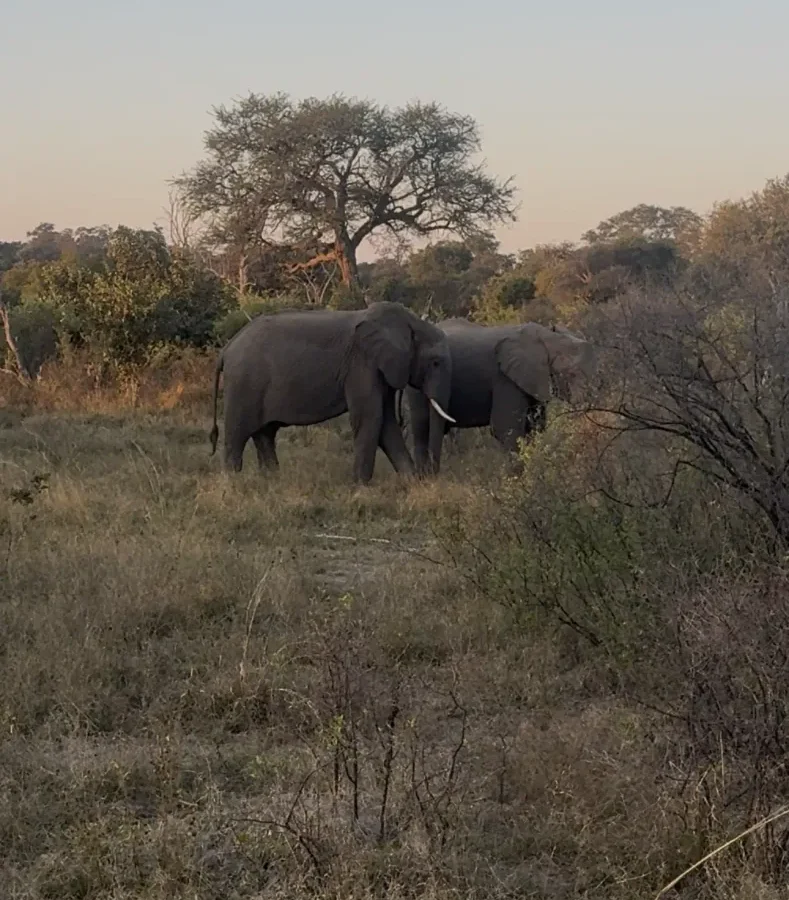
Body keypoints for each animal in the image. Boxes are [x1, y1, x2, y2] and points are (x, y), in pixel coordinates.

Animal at [209, 301, 455, 484]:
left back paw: (272, 481)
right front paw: (361, 487)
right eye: (435, 362)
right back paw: (232, 485)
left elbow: (386, 423)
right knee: (238, 435)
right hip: (243, 384)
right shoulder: (361, 364)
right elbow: (370, 418)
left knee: (264, 435)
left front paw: (411, 484)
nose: (429, 477)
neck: (409, 322)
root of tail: (226, 349)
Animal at [401, 318, 596, 475]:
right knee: (422, 429)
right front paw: (518, 478)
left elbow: (535, 427)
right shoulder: (504, 378)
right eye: (570, 374)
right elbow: (506, 428)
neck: (546, 337)